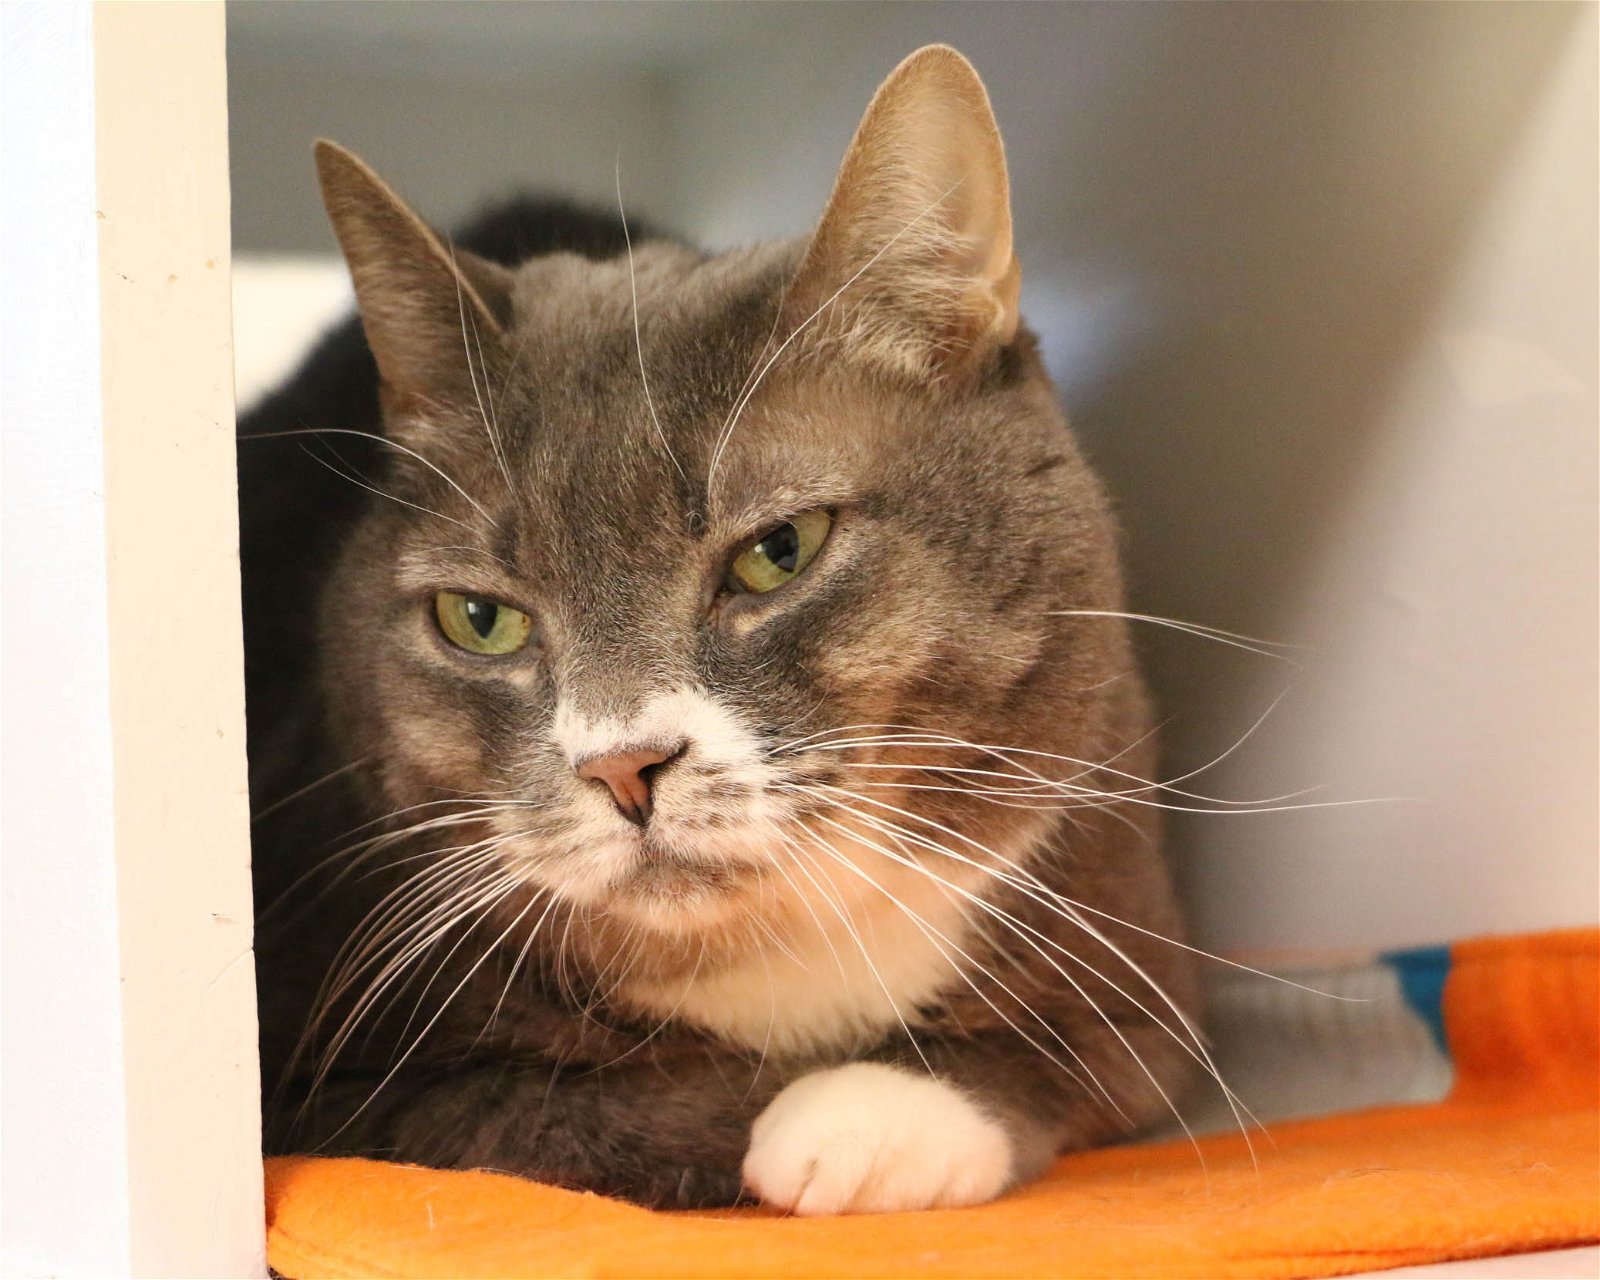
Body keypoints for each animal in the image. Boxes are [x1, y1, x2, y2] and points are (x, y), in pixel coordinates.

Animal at [243, 45, 1203, 1216]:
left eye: (778, 549)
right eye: (480, 619)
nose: (622, 765)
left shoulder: (1135, 930)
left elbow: (1094, 1043)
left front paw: (872, 1114)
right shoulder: (323, 1071)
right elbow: (562, 1106)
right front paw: (809, 1110)